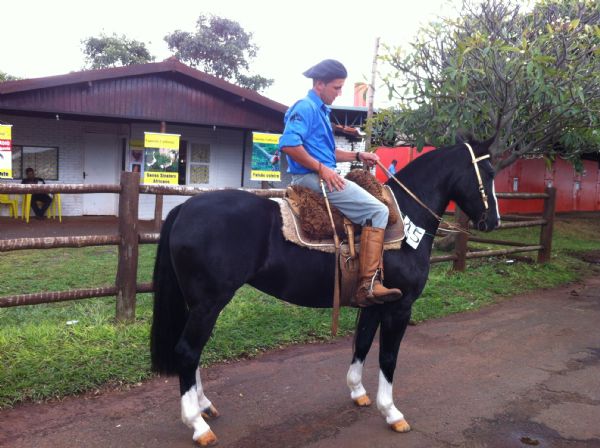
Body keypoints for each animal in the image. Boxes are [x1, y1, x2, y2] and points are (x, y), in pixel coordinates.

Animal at [150, 136, 502, 444]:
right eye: (489, 172)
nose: (494, 222)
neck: (404, 217)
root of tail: (183, 209)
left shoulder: (374, 303)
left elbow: (363, 343)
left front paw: (358, 392)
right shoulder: (400, 308)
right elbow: (388, 357)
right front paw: (391, 412)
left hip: (198, 304)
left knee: (194, 352)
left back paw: (204, 406)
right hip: (209, 304)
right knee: (187, 351)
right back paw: (197, 425)